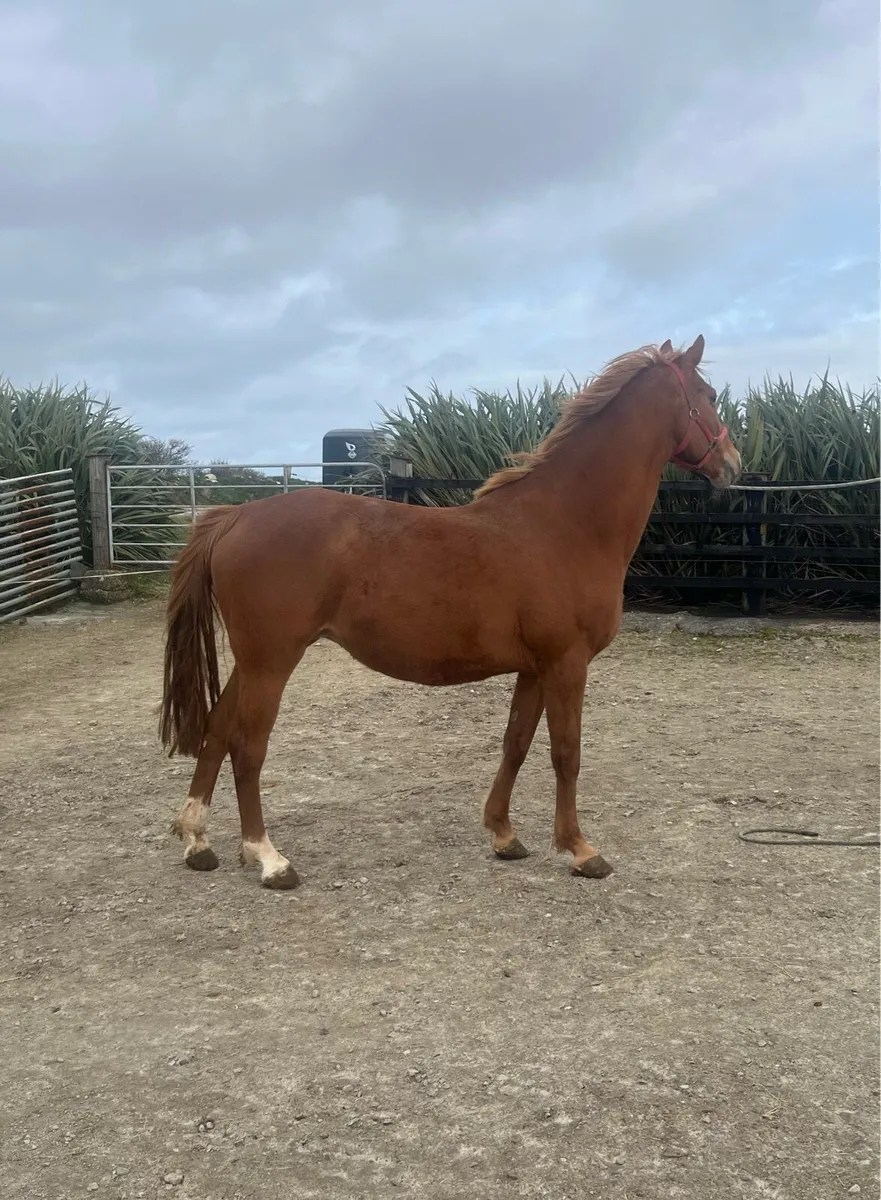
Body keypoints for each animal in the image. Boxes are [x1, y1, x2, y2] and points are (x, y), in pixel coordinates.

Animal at [160, 334, 741, 890]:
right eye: (709, 395)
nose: (732, 463)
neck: (566, 523)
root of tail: (236, 517)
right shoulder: (566, 663)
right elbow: (566, 752)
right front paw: (580, 850)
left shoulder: (535, 669)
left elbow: (516, 744)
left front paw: (504, 835)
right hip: (272, 661)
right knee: (247, 746)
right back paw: (268, 858)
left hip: (253, 662)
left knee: (216, 730)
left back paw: (197, 841)